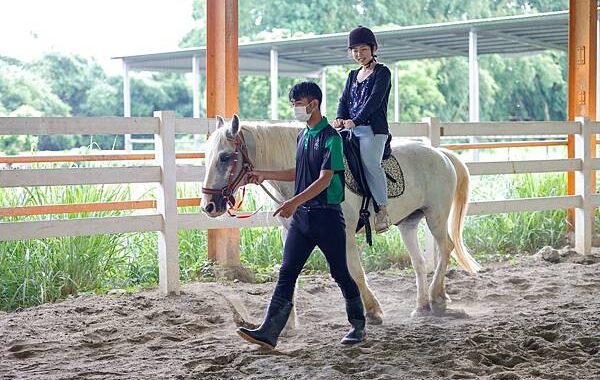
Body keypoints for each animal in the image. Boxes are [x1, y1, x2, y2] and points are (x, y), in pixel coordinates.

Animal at [203, 114, 482, 326]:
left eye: (225, 157)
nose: (208, 205)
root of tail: (440, 154)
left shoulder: (344, 233)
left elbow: (355, 272)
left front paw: (373, 311)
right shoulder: (292, 233)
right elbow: (289, 271)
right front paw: (287, 323)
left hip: (436, 216)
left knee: (446, 248)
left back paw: (437, 299)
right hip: (409, 223)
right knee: (420, 263)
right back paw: (423, 305)